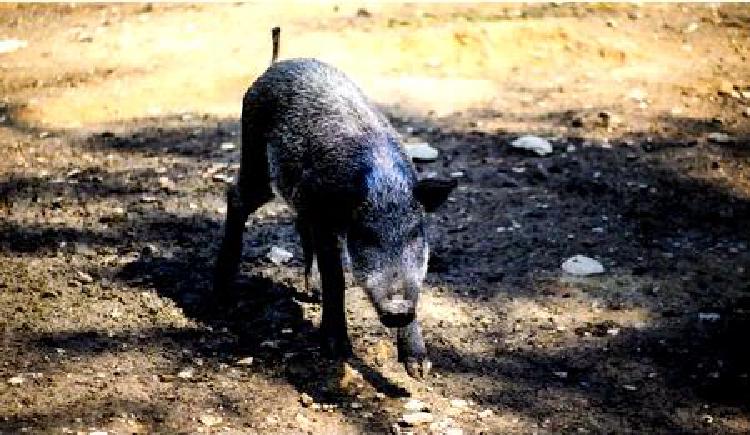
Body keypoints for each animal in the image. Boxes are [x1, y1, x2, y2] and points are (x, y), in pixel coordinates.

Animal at [214, 27, 456, 380]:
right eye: (365, 236)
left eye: (415, 234)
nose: (398, 309)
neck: (382, 182)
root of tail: (275, 64)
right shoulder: (326, 219)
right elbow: (337, 277)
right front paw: (337, 349)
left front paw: (420, 369)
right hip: (256, 158)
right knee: (236, 197)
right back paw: (221, 297)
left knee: (297, 223)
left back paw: (310, 295)